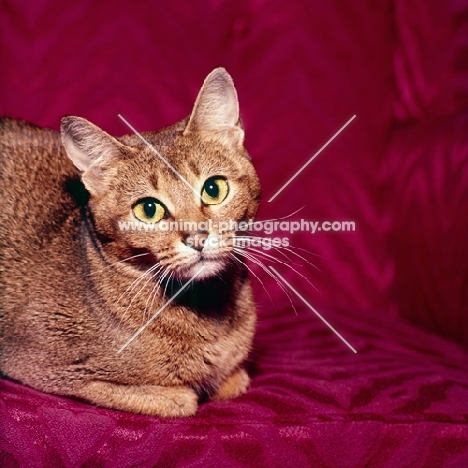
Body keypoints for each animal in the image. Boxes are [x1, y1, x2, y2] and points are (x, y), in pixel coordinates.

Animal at [0, 66, 262, 416]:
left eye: (213, 189)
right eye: (148, 209)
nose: (197, 238)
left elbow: (235, 377)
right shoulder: (48, 366)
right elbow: (180, 400)